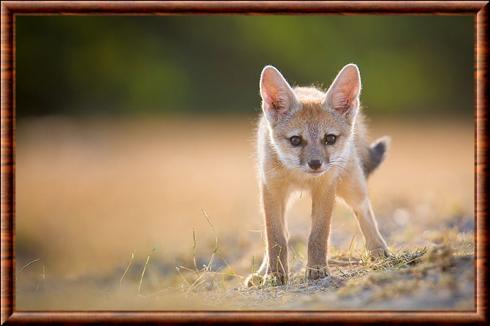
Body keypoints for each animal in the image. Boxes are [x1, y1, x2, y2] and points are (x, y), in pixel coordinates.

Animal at [247, 62, 392, 286]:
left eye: (329, 138)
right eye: (296, 140)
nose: (315, 164)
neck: (301, 178)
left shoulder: (326, 189)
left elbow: (318, 236)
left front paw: (317, 269)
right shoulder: (271, 190)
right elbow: (275, 239)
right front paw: (274, 274)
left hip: (351, 188)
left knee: (364, 211)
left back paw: (378, 250)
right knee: (282, 233)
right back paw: (261, 272)